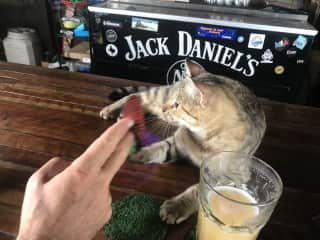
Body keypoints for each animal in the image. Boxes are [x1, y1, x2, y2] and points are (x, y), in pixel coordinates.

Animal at [100, 60, 264, 225]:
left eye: (177, 105)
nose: (165, 108)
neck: (204, 138)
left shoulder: (232, 177)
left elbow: (198, 190)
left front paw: (177, 206)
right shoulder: (176, 143)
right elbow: (158, 148)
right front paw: (139, 153)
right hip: (160, 95)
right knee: (138, 95)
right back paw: (114, 110)